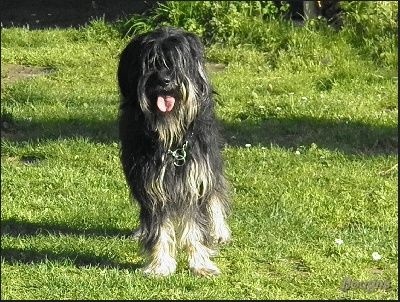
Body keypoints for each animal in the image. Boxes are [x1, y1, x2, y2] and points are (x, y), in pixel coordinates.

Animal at [117, 26, 230, 276]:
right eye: (150, 62)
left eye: (177, 61)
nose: (165, 80)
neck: (170, 138)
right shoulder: (150, 184)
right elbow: (159, 229)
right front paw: (160, 265)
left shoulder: (195, 178)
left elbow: (195, 227)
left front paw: (201, 263)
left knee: (216, 192)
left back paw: (220, 230)